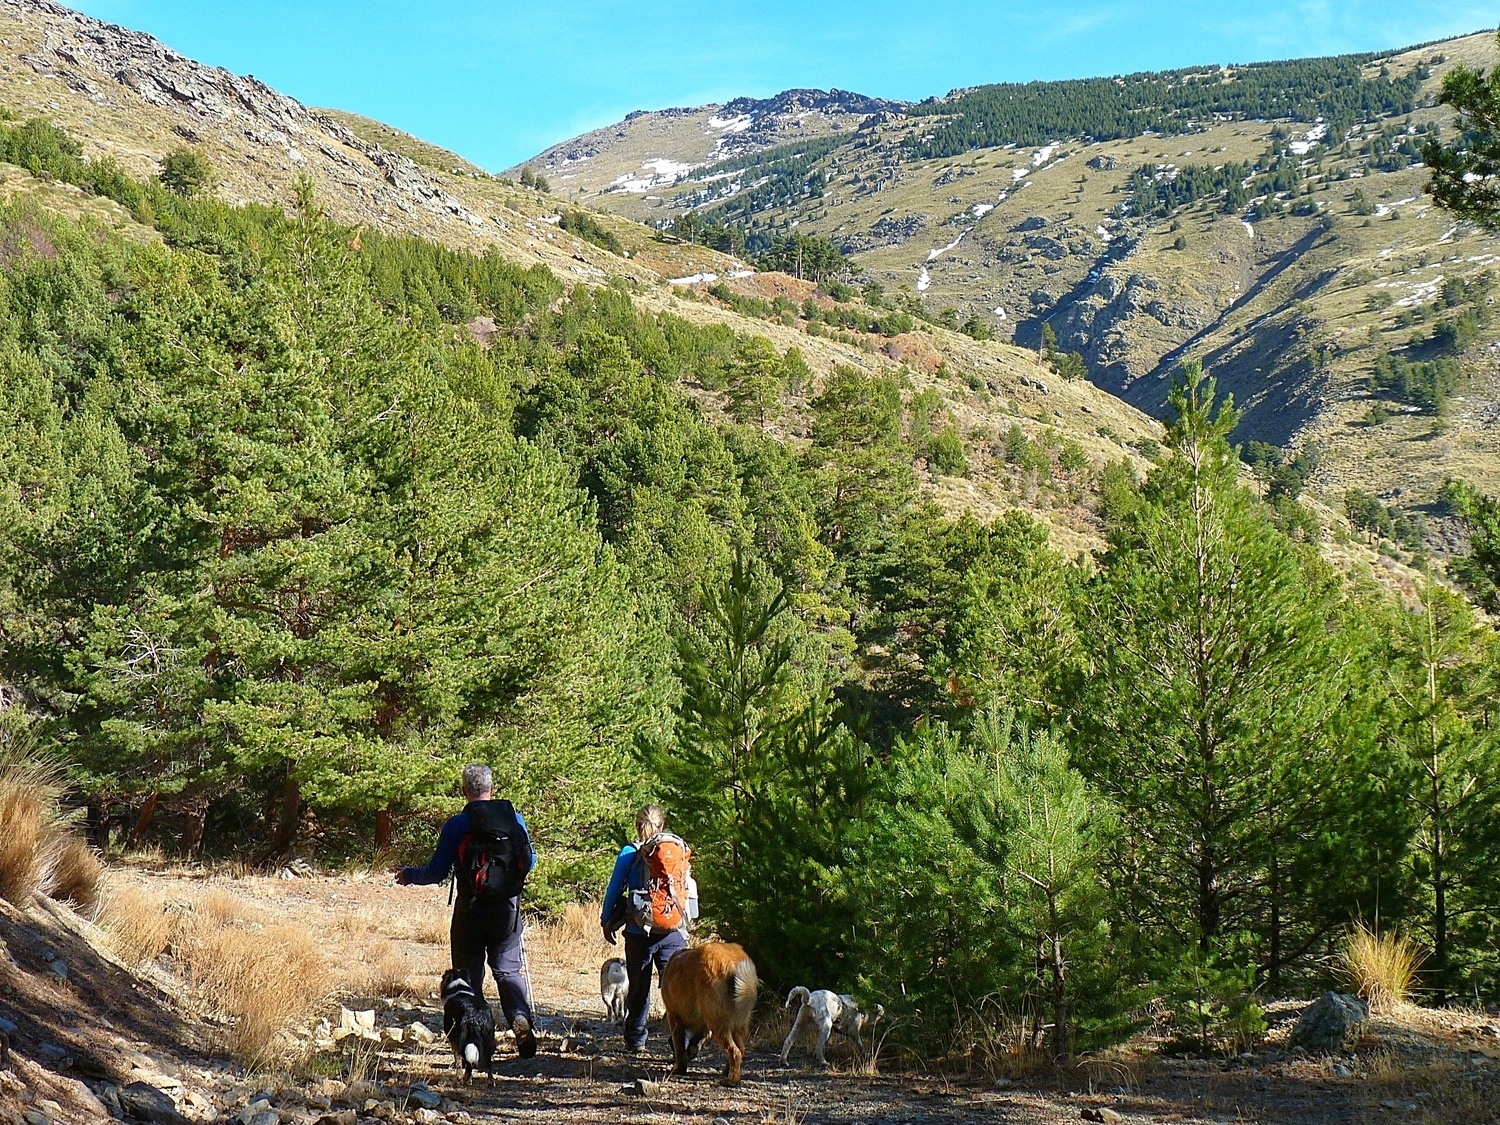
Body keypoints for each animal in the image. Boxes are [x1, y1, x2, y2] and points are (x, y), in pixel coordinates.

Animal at [663, 942, 762, 1092]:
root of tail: (733, 963)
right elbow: (696, 1039)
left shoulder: (674, 1017)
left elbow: (679, 1045)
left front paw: (679, 1068)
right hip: (737, 1023)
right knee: (740, 1049)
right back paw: (728, 1072)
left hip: (718, 1023)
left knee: (734, 1051)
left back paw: (731, 1081)